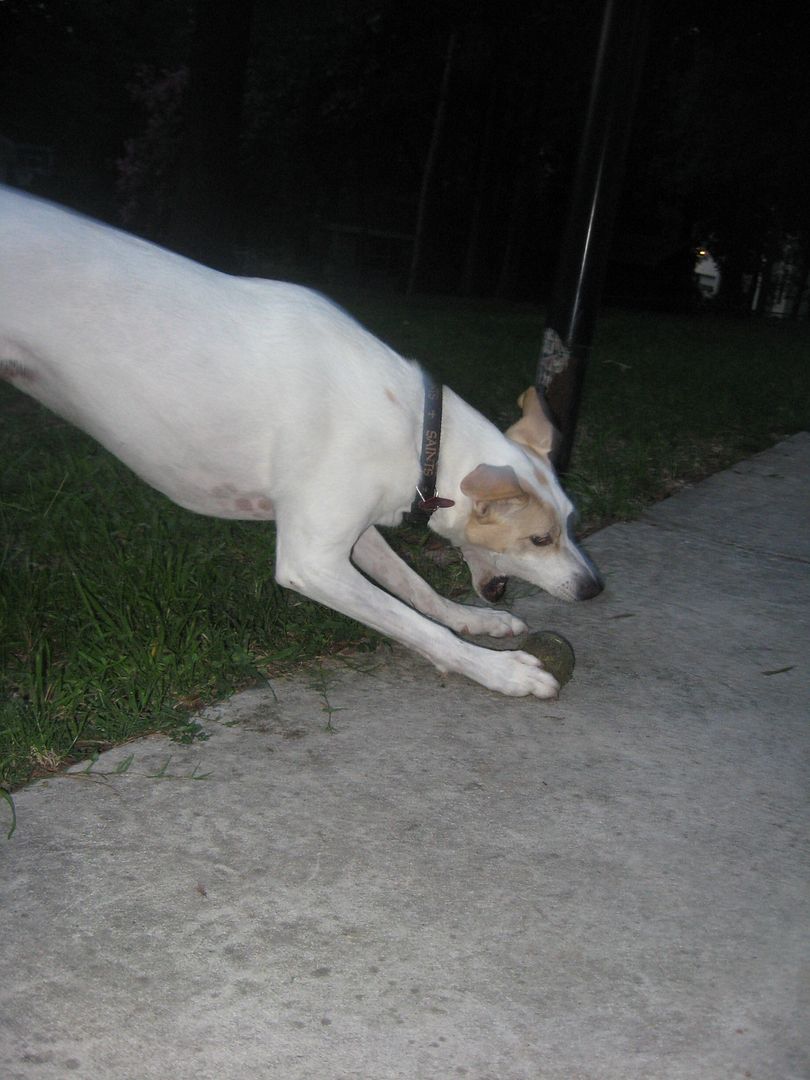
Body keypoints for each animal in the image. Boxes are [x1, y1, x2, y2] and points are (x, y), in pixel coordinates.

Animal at [1, 186, 604, 699]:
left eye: (572, 523)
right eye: (539, 540)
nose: (594, 589)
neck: (419, 431)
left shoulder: (353, 531)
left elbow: (416, 590)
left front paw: (474, 621)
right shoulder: (311, 561)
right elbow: (415, 625)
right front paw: (499, 672)